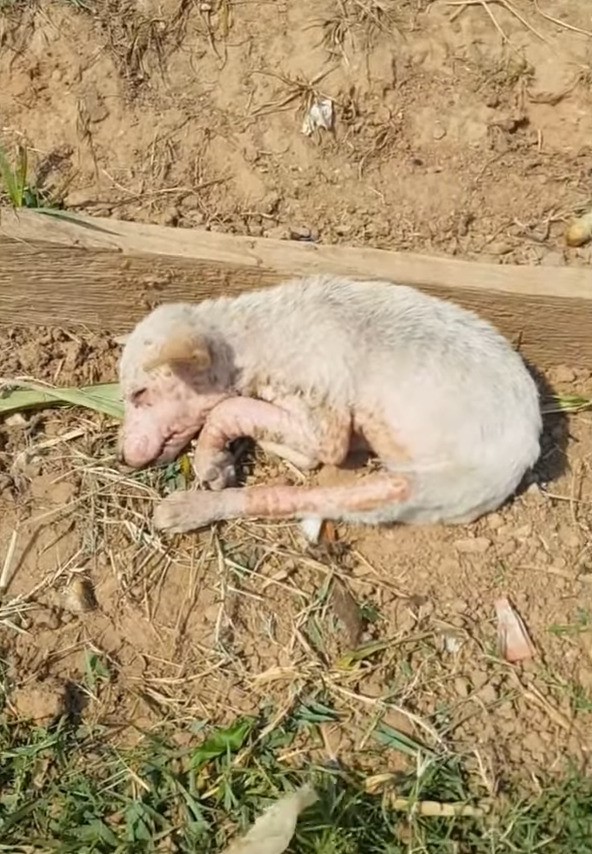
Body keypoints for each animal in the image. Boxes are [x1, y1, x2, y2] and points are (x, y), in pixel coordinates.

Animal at [115, 276, 540, 536]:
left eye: (139, 394)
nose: (123, 457)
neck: (256, 340)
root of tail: (525, 454)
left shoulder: (327, 421)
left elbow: (230, 407)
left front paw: (211, 461)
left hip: (414, 487)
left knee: (291, 497)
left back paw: (187, 508)